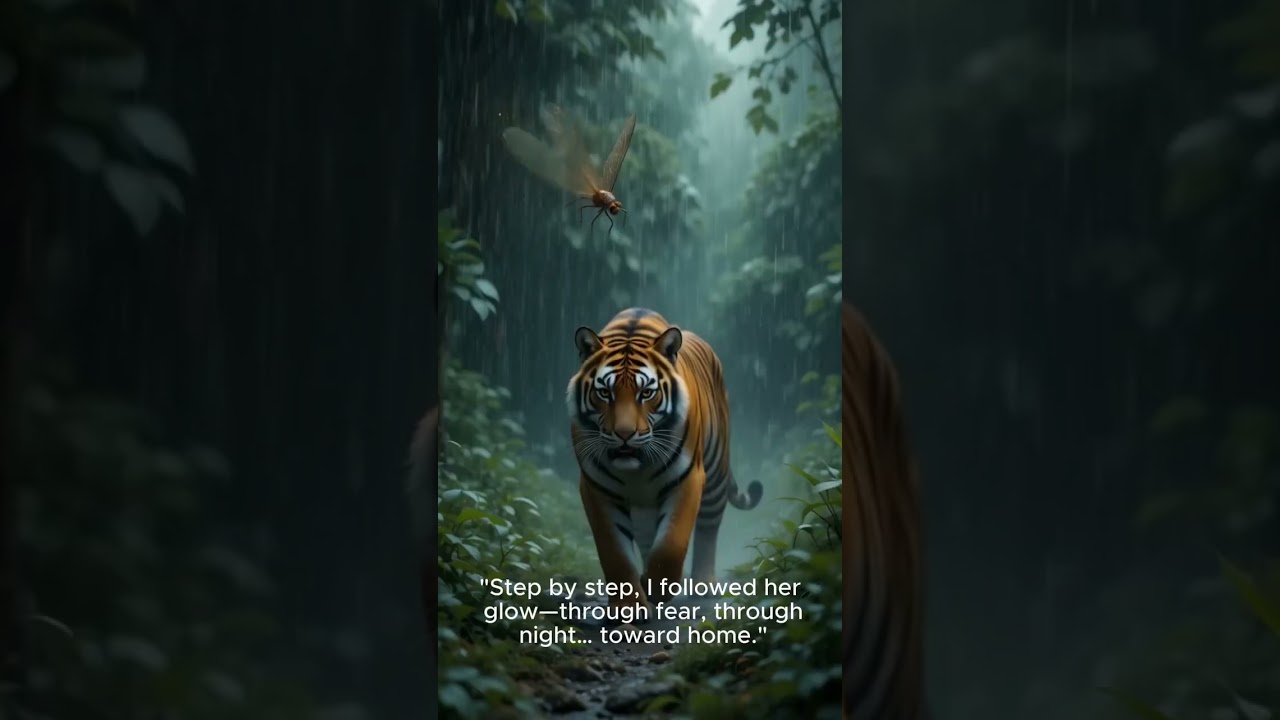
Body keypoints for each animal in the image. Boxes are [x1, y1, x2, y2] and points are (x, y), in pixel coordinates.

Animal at [567, 307, 763, 610]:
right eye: (604, 393)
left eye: (646, 393)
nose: (624, 434)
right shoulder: (596, 487)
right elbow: (614, 554)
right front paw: (630, 607)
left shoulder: (688, 477)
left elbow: (671, 545)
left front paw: (657, 588)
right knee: (648, 539)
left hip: (715, 475)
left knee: (708, 527)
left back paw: (703, 584)